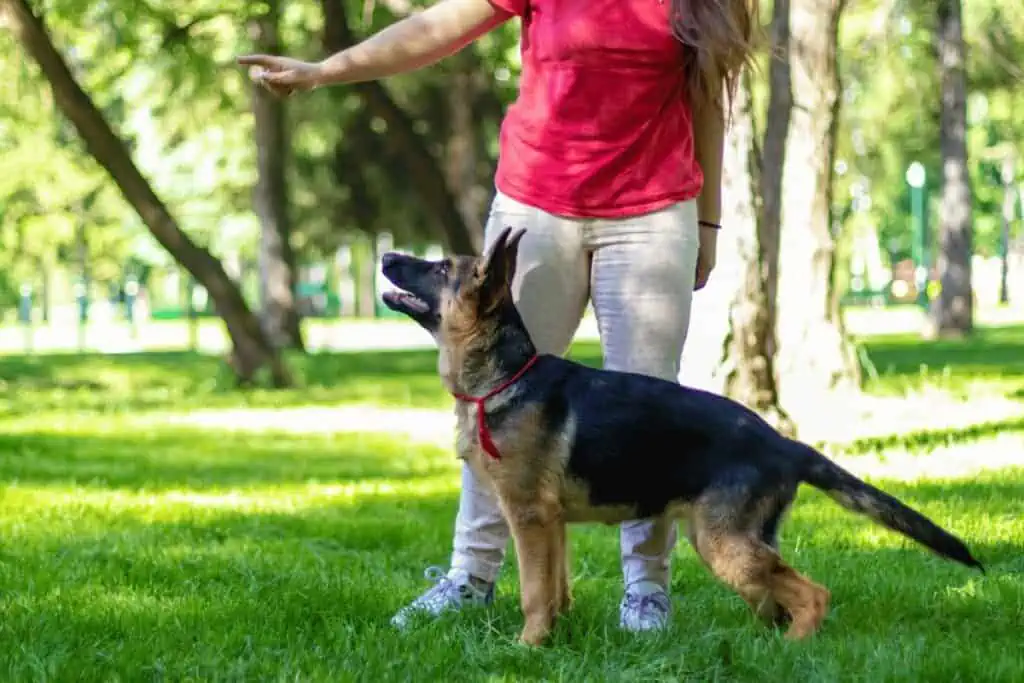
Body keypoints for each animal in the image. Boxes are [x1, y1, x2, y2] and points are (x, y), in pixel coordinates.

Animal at [382, 225, 983, 647]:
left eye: (439, 267)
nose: (386, 258)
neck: (506, 375)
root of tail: (786, 444)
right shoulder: (551, 525)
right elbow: (554, 589)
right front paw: (553, 638)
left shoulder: (528, 517)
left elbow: (533, 592)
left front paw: (527, 648)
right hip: (730, 541)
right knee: (775, 598)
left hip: (722, 543)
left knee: (812, 594)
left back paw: (792, 650)